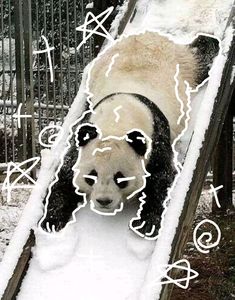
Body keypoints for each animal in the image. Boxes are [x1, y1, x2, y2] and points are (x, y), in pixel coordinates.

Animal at [40, 31, 220, 239]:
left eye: (120, 178)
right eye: (91, 175)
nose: (104, 201)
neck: (117, 120)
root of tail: (150, 35)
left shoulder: (155, 136)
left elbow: (160, 179)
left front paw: (145, 224)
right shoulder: (86, 136)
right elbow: (65, 175)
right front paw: (52, 220)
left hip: (181, 64)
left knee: (199, 57)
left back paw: (210, 40)